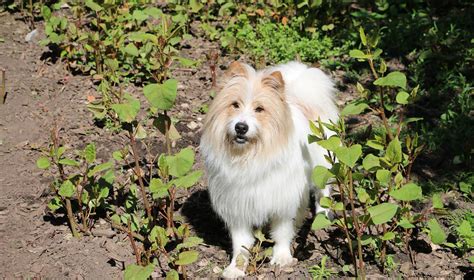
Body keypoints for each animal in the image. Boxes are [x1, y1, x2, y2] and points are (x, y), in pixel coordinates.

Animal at [199, 61, 336, 278]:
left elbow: (282, 232)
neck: (249, 155)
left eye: (259, 109)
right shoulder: (237, 205)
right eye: (235, 105)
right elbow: (241, 243)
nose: (241, 127)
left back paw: (323, 215)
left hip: (322, 166)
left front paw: (282, 258)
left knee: (323, 192)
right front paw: (236, 268)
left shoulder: (282, 201)